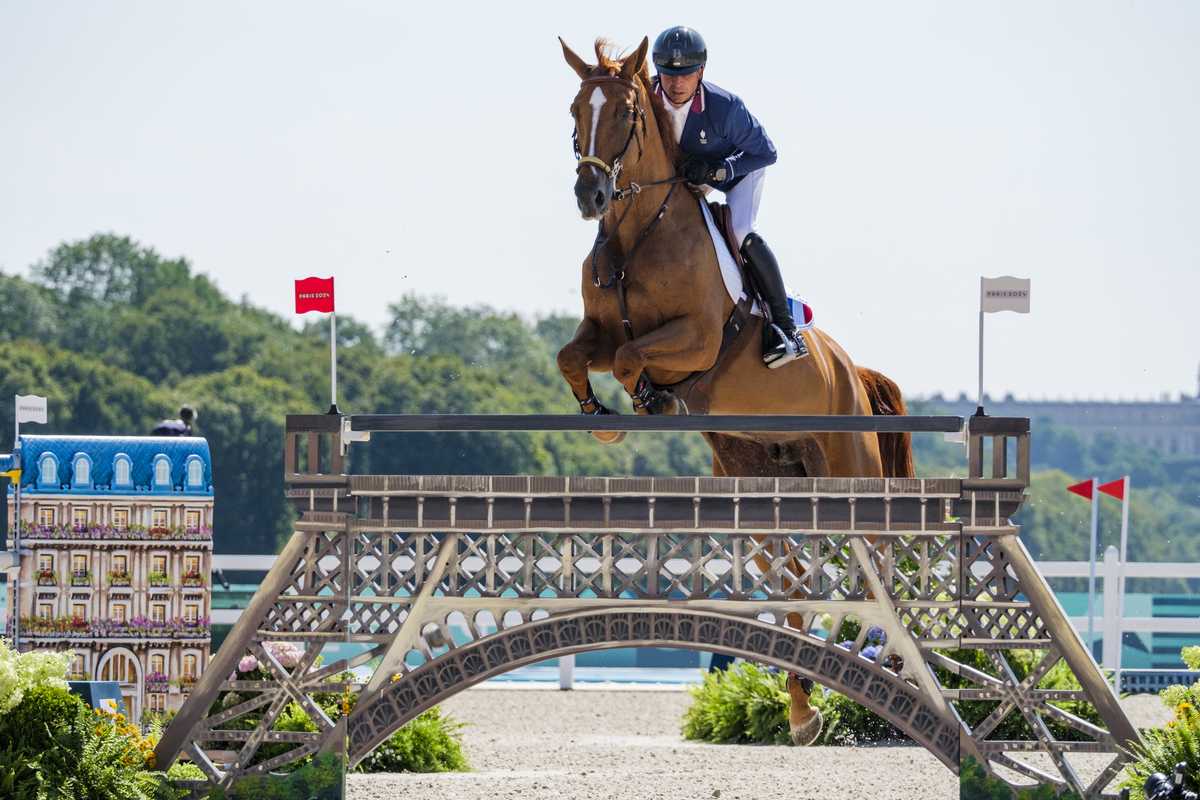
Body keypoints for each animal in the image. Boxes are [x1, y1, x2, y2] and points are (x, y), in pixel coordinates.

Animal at [556, 36, 915, 745]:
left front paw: (651, 402)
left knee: (868, 567)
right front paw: (602, 415)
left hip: (845, 468)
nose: (591, 194)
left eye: (627, 113)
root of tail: (851, 370)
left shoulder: (693, 339)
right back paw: (803, 710)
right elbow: (574, 355)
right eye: (576, 110)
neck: (637, 233)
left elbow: (636, 358)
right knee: (792, 581)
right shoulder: (598, 332)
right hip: (758, 478)